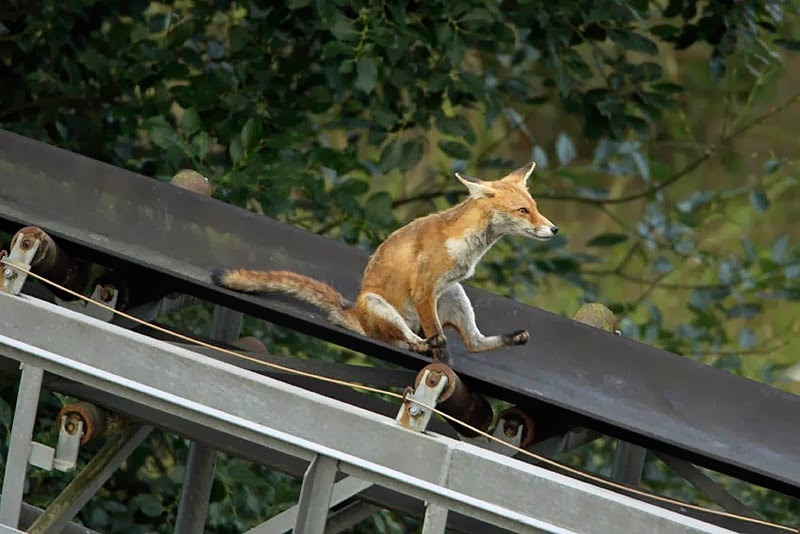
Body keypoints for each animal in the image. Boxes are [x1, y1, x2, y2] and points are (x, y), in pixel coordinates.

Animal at [216, 161, 560, 366]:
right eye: (522, 211)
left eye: (535, 207)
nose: (554, 229)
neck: (467, 245)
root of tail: (356, 314)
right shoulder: (423, 290)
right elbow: (438, 339)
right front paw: (442, 361)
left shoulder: (440, 289)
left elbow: (446, 337)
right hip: (380, 305)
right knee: (403, 340)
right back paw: (418, 346)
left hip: (454, 294)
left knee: (474, 343)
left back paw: (511, 338)